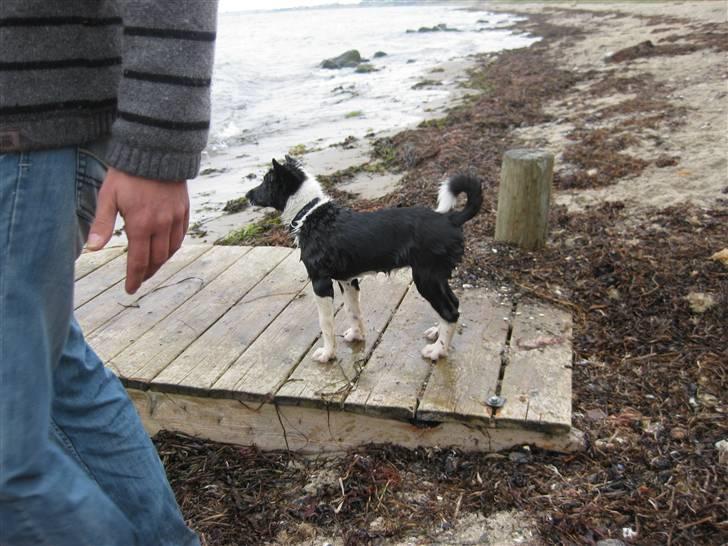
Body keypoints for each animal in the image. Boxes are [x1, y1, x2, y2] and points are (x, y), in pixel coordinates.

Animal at [246, 155, 484, 362]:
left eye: (267, 182)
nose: (247, 195)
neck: (310, 213)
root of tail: (451, 218)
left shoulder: (320, 283)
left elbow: (326, 324)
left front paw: (327, 353)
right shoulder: (348, 280)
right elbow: (353, 311)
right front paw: (357, 336)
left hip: (426, 278)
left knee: (450, 312)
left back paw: (437, 351)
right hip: (437, 277)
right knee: (453, 304)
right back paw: (436, 331)